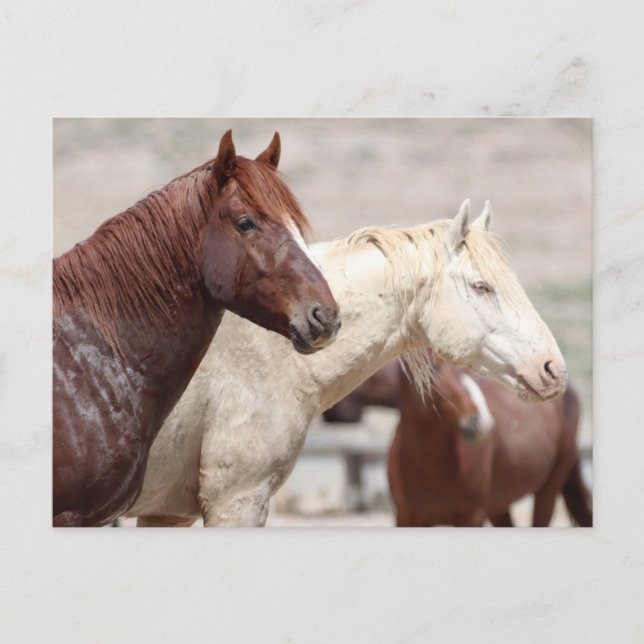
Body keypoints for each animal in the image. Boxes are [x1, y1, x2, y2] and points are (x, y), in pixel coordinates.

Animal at [388, 354, 592, 527]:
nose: (482, 422)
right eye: (434, 367)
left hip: (548, 490)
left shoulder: (472, 518)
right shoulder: (405, 517)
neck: (429, 470)